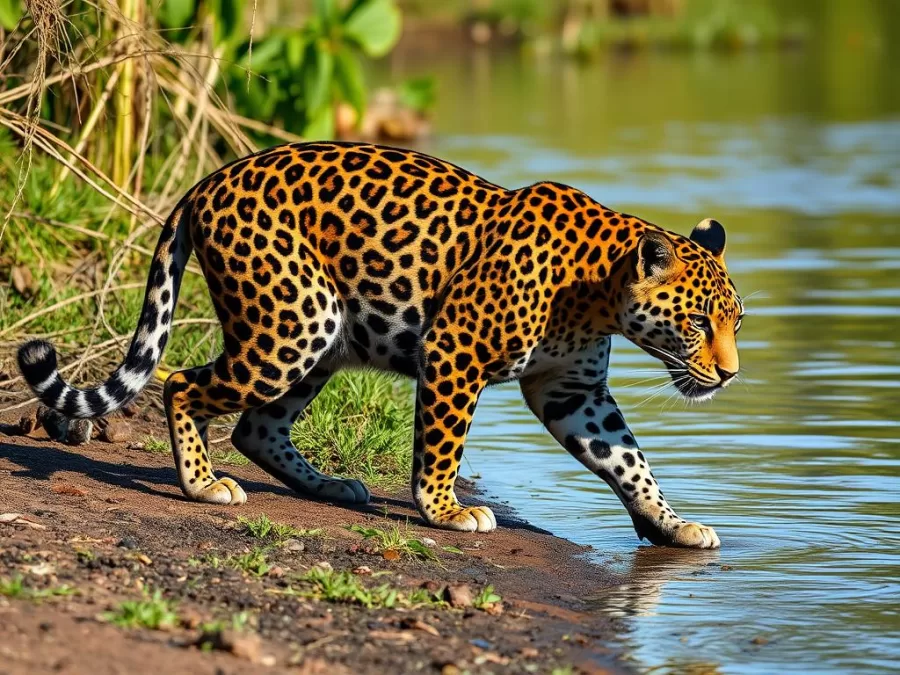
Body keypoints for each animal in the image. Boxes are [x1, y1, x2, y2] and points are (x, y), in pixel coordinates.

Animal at [18, 141, 743, 549]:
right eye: (700, 323)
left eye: (735, 321)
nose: (731, 375)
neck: (597, 293)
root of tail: (208, 181)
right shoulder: (454, 351)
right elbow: (442, 445)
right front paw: (447, 511)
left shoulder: (573, 389)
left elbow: (629, 461)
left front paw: (671, 523)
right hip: (293, 322)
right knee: (181, 384)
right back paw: (203, 485)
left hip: (321, 335)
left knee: (257, 425)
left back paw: (332, 486)